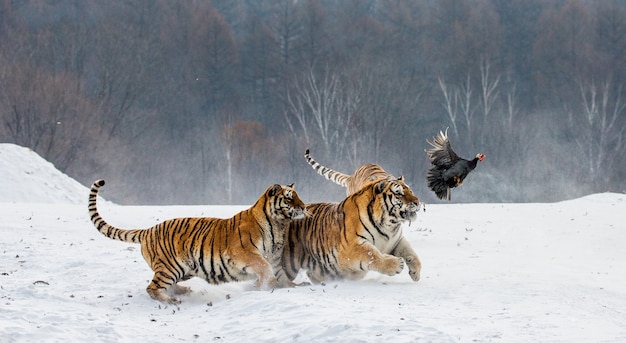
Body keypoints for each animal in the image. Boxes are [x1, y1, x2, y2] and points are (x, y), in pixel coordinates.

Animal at [87, 179, 304, 306]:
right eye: (289, 198)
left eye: (298, 196)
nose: (302, 207)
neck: (279, 225)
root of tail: (148, 230)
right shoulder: (246, 254)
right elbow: (265, 269)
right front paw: (261, 286)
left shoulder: (274, 257)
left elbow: (280, 273)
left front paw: (293, 286)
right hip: (170, 267)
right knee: (152, 287)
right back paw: (171, 301)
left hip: (184, 269)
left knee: (167, 285)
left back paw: (183, 291)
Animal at [276, 176, 420, 286]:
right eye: (399, 193)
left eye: (411, 191)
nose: (417, 202)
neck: (389, 225)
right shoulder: (351, 247)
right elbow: (372, 254)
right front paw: (396, 264)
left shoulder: (395, 241)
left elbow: (412, 254)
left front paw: (416, 273)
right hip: (288, 263)